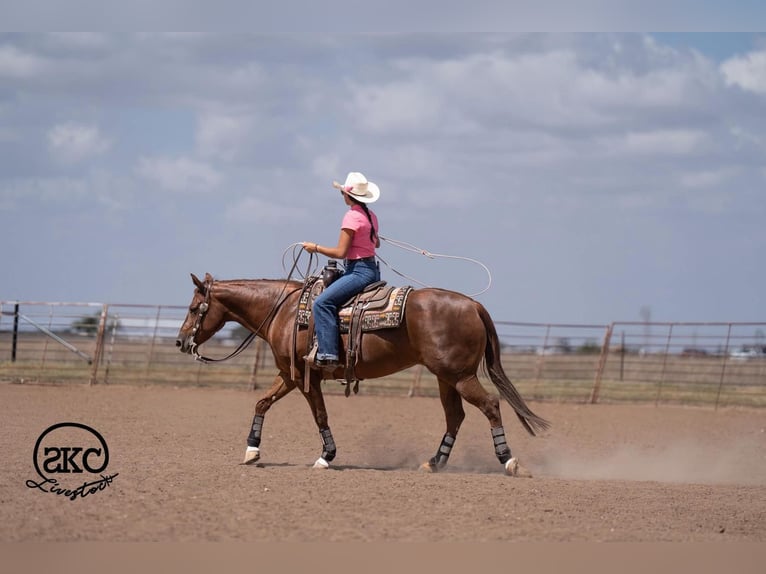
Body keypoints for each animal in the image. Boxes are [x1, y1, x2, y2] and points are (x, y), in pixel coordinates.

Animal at [176, 272, 550, 475]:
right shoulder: (289, 375)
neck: (284, 310)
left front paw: (326, 457)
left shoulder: (305, 378)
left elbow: (320, 415)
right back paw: (434, 462)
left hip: (459, 376)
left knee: (490, 405)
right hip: (446, 378)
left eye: (194, 308)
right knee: (455, 416)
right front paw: (251, 452)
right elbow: (262, 403)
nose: (180, 341)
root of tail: (473, 305)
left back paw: (509, 461)